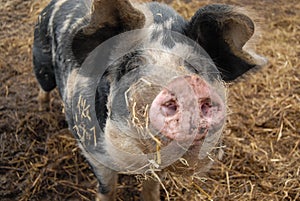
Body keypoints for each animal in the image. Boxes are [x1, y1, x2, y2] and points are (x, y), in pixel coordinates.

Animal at [32, 0, 266, 200]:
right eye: (130, 66)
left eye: (195, 68)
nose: (185, 84)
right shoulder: (92, 148)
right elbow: (107, 187)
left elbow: (152, 185)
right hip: (41, 61)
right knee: (43, 86)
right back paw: (43, 112)